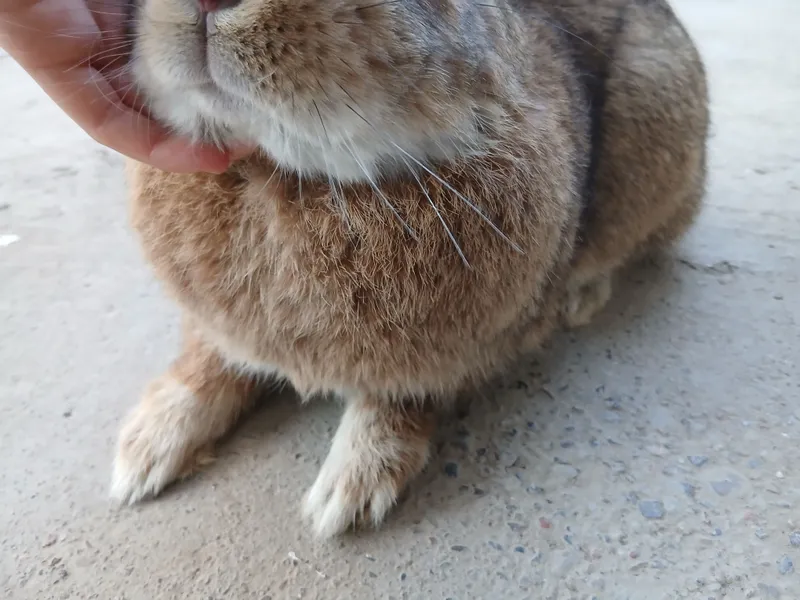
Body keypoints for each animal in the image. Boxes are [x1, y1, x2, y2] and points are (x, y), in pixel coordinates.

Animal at [112, 0, 709, 538]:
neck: (278, 177)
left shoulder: (469, 347)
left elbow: (402, 398)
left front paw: (348, 493)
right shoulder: (218, 326)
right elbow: (207, 358)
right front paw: (143, 452)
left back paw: (582, 297)